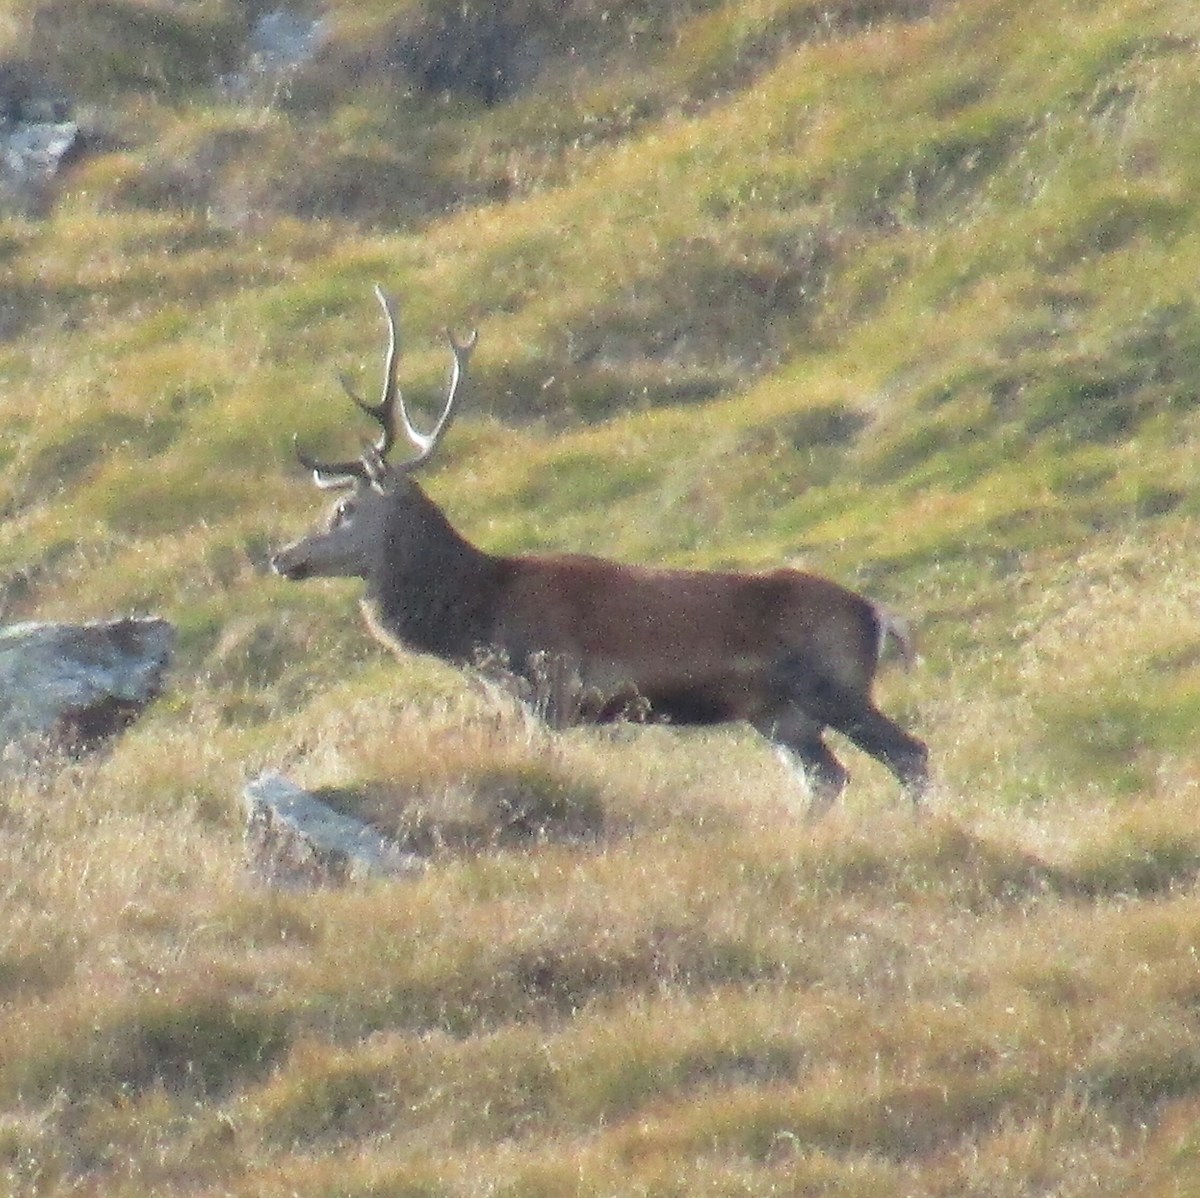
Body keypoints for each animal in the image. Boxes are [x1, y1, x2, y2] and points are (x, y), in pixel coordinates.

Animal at [270, 285, 929, 819]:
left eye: (344, 508)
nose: (282, 556)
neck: (477, 618)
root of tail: (878, 615)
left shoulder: (548, 690)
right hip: (778, 715)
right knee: (826, 779)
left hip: (836, 688)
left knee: (911, 756)